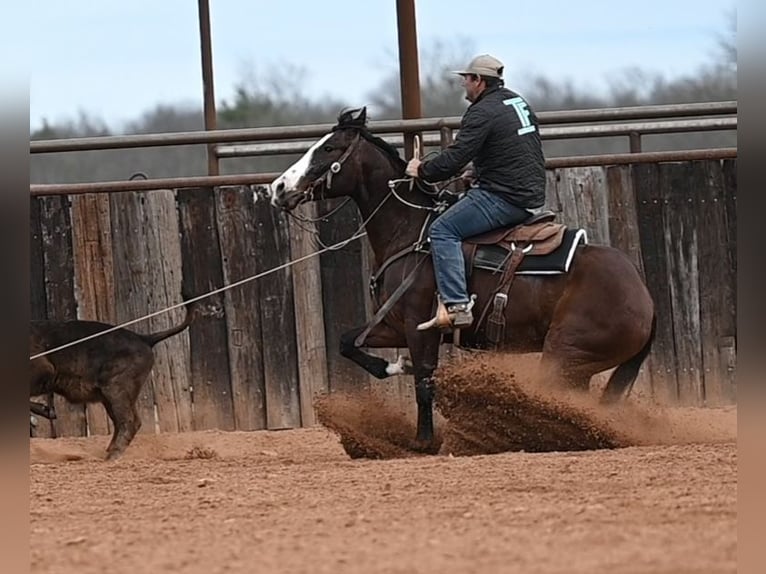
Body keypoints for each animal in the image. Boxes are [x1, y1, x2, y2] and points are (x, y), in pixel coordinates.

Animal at [267, 107, 655, 452]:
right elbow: (348, 343)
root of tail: (645, 299)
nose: (278, 187)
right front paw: (395, 366)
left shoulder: (418, 328)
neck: (410, 230)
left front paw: (423, 442)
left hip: (564, 355)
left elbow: (424, 382)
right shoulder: (397, 325)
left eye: (329, 148)